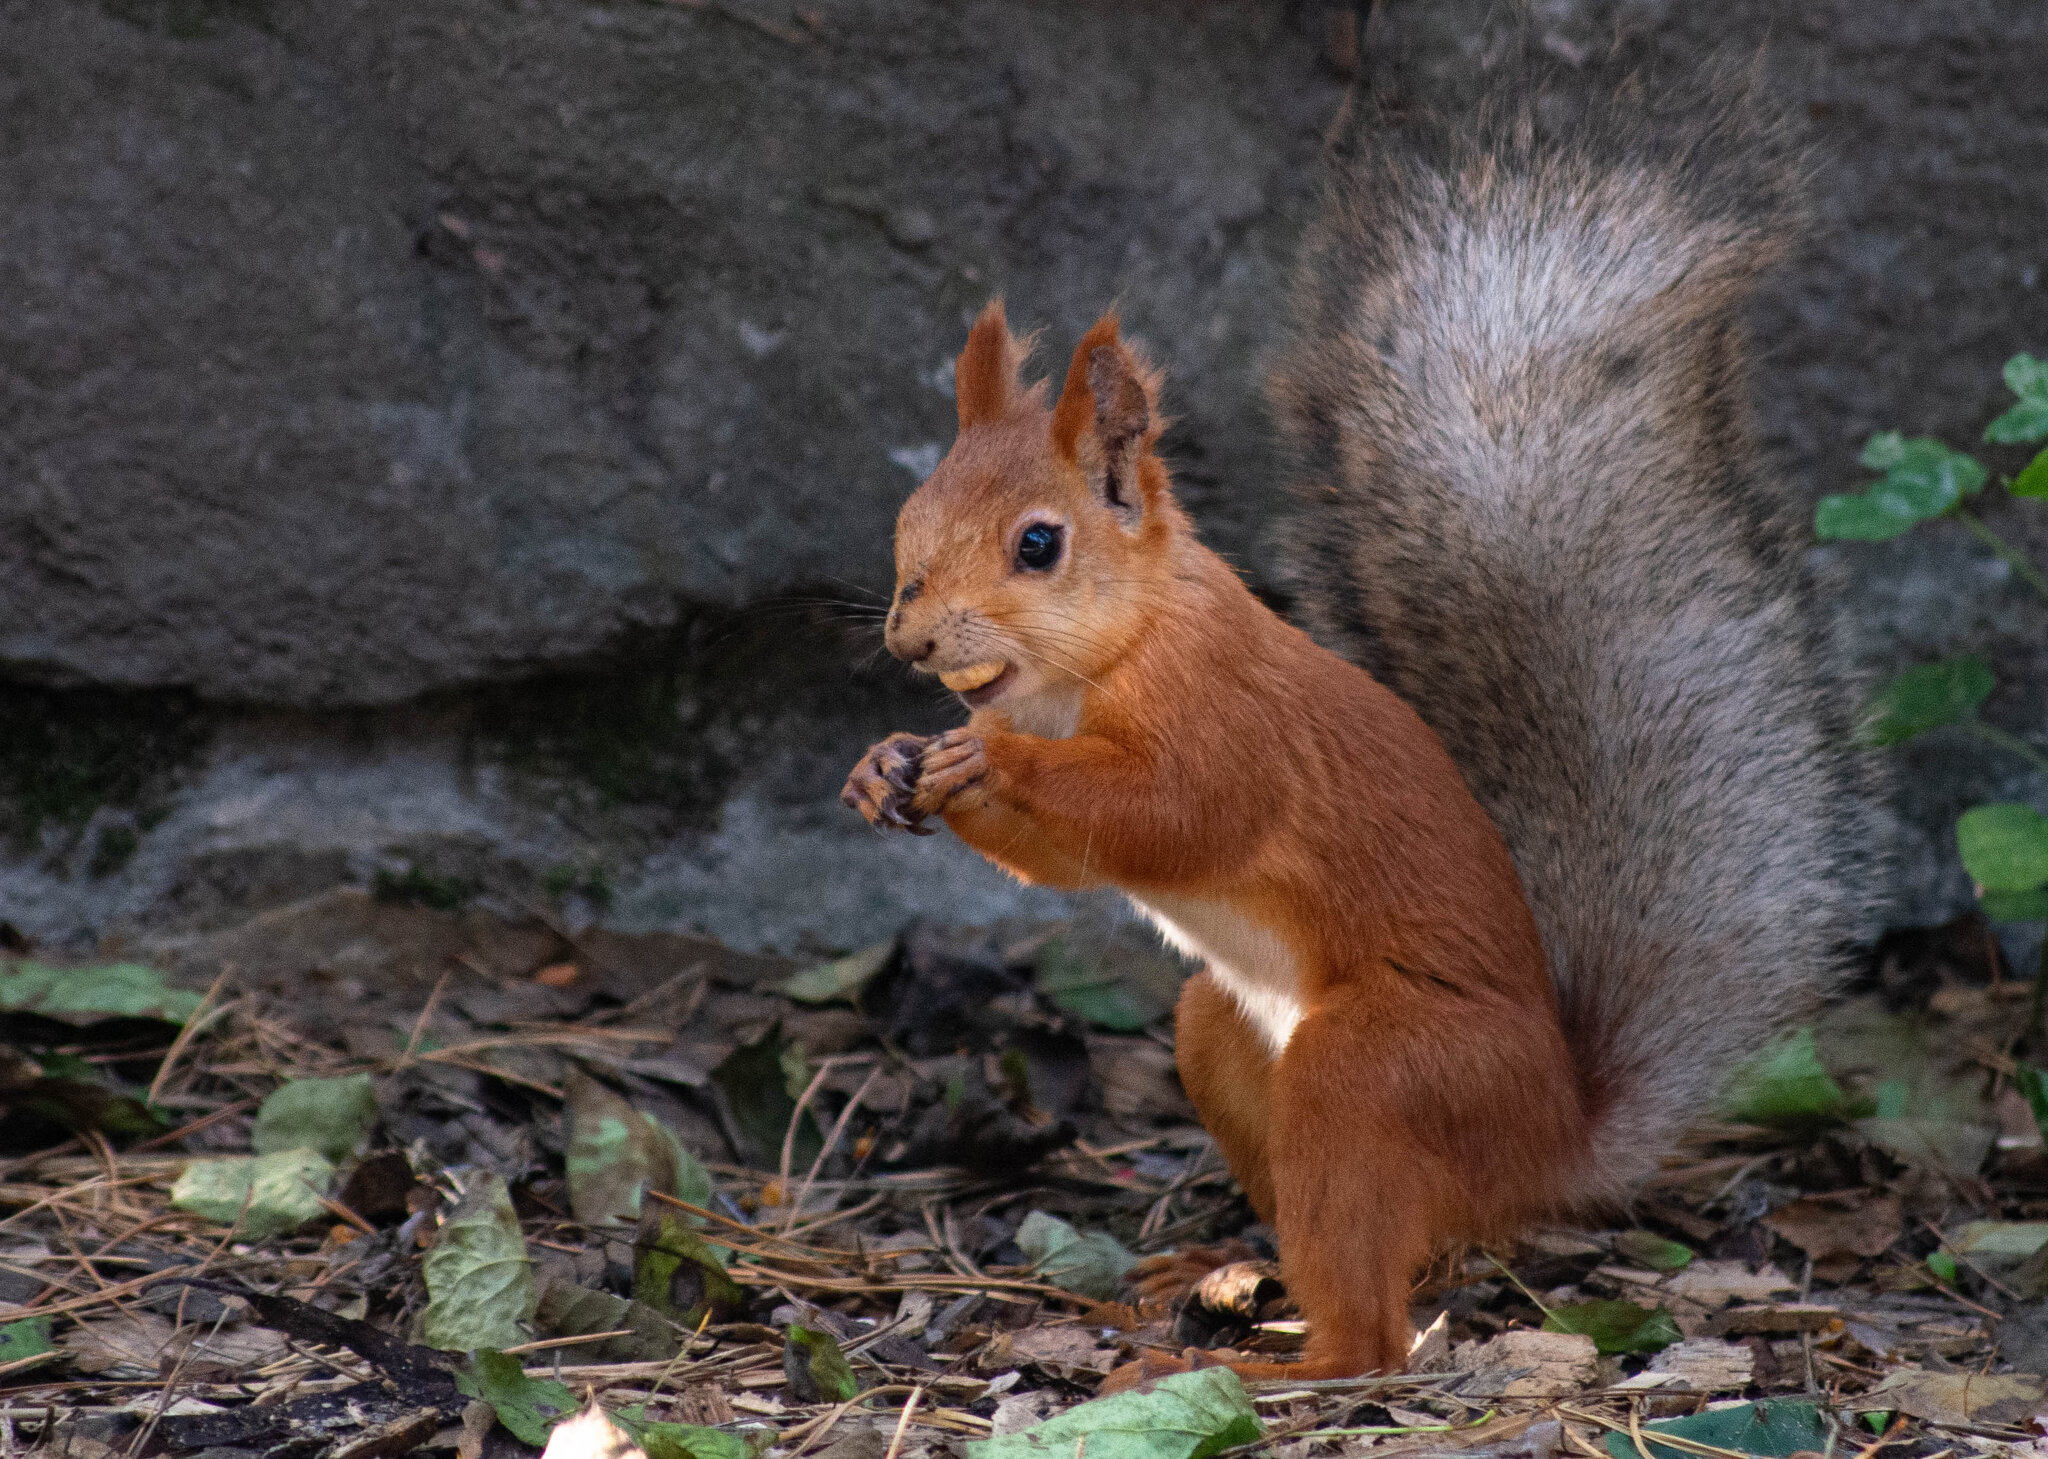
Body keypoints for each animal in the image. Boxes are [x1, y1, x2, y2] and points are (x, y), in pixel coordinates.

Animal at [841, 67, 1876, 1383]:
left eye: (1038, 543)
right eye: (909, 520)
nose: (911, 642)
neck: (1108, 655)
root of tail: (1549, 1138)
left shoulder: (1225, 718)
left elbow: (1175, 814)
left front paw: (993, 759)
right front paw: (882, 766)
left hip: (1384, 1068)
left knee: (1376, 1333)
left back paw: (1283, 1362)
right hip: (1223, 1036)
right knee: (1385, 1239)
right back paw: (1228, 1272)